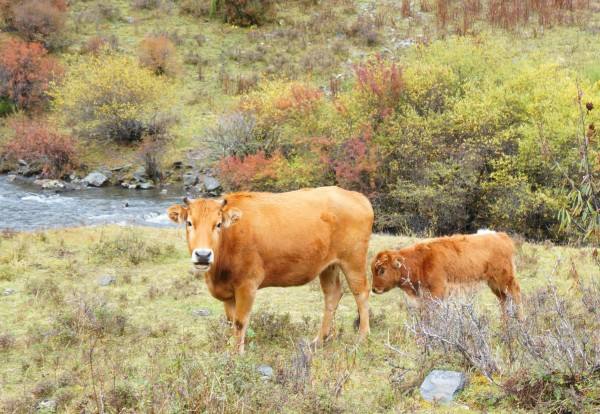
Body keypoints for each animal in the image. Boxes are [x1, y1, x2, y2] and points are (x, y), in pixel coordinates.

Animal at [169, 188, 372, 352]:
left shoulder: (247, 285)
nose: (203, 255)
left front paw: (236, 355)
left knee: (361, 293)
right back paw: (319, 341)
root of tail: (357, 196)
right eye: (189, 223)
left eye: (218, 224)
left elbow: (240, 322)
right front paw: (229, 349)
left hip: (353, 260)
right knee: (332, 295)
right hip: (329, 266)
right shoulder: (228, 293)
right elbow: (230, 321)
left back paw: (362, 338)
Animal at [370, 231, 520, 318]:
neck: (420, 261)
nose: (374, 289)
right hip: (495, 284)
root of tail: (501, 236)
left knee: (515, 294)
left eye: (382, 270)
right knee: (504, 299)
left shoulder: (437, 292)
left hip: (505, 279)